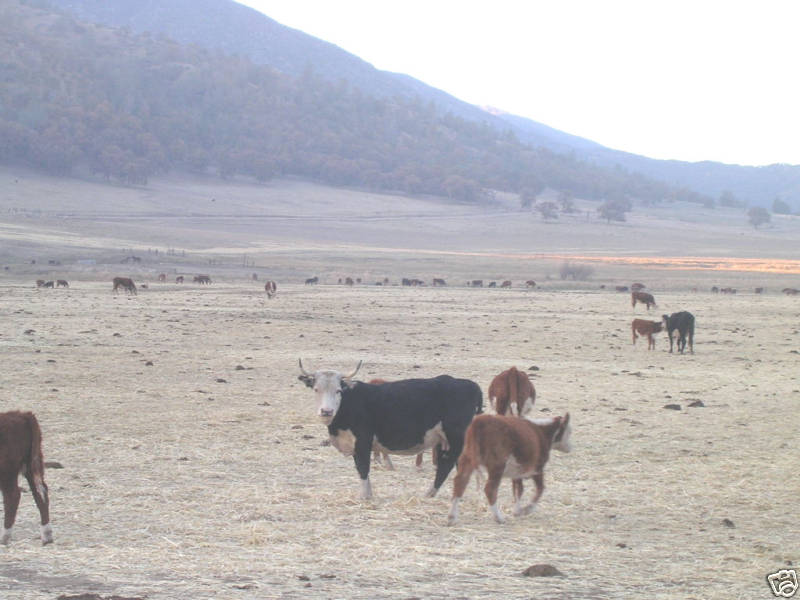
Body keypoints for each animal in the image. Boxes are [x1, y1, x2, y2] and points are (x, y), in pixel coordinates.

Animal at [0, 411, 53, 545]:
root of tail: (23, 415)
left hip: (7, 471)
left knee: (12, 496)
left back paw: (4, 537)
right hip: (33, 464)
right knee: (41, 492)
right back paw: (47, 536)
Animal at [298, 360, 483, 500]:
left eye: (338, 390)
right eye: (316, 389)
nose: (326, 411)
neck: (350, 402)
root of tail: (469, 384)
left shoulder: (362, 442)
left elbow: (363, 468)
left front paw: (365, 496)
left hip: (456, 438)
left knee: (448, 465)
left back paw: (430, 493)